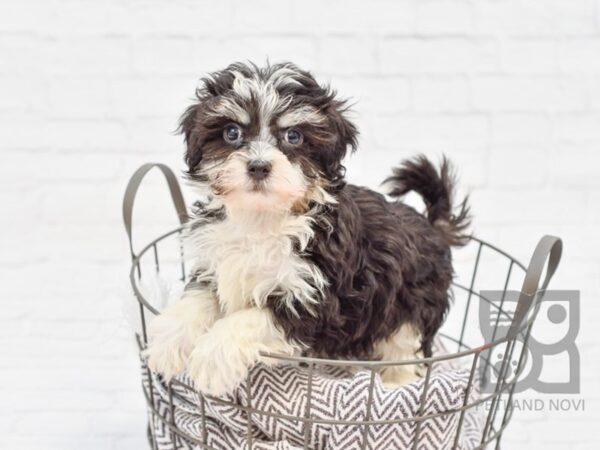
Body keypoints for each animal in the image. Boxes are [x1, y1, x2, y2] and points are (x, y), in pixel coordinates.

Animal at [144, 62, 468, 394]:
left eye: (294, 136)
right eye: (232, 133)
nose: (258, 166)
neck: (262, 217)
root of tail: (432, 226)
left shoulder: (315, 296)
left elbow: (252, 317)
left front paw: (213, 356)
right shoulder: (216, 266)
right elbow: (199, 298)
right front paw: (168, 340)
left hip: (412, 307)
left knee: (405, 350)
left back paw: (396, 385)